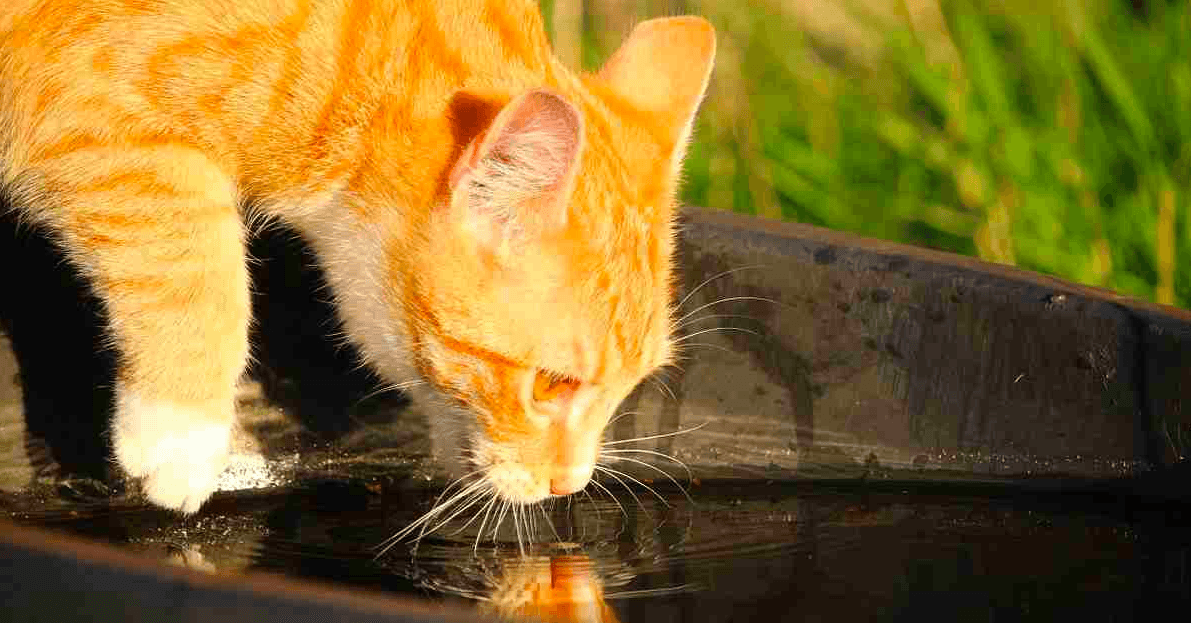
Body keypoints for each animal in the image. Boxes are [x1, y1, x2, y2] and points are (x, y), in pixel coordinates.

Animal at [0, 0, 714, 514]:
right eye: (550, 385)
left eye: (630, 387)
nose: (571, 484)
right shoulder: (90, 111)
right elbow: (194, 255)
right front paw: (183, 434)